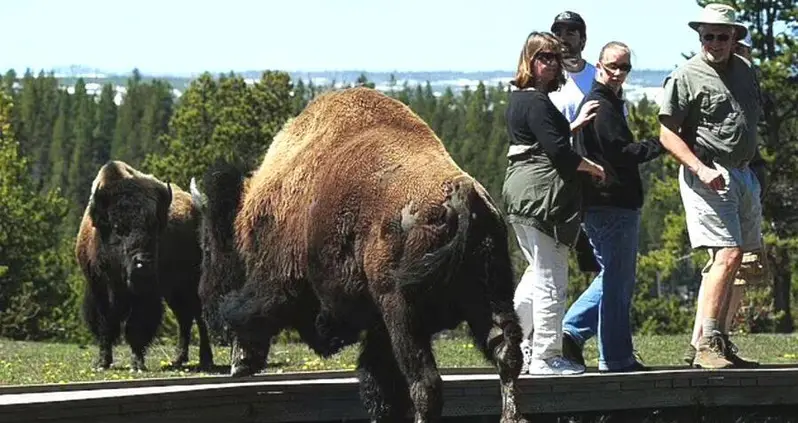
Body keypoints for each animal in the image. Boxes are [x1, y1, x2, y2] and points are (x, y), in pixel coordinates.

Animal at [76, 161, 213, 371]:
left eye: (154, 228)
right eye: (117, 228)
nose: (143, 264)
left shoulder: (147, 295)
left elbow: (137, 327)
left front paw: (137, 363)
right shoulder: (99, 289)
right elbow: (105, 325)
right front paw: (102, 362)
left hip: (191, 284)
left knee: (198, 317)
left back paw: (206, 360)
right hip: (174, 292)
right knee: (184, 318)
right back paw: (178, 359)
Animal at [191, 87, 527, 423]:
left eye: (209, 248)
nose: (207, 305)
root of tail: (460, 193)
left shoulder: (278, 277)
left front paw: (241, 359)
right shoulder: (378, 327)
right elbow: (379, 381)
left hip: (403, 313)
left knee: (425, 383)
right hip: (491, 295)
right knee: (506, 355)